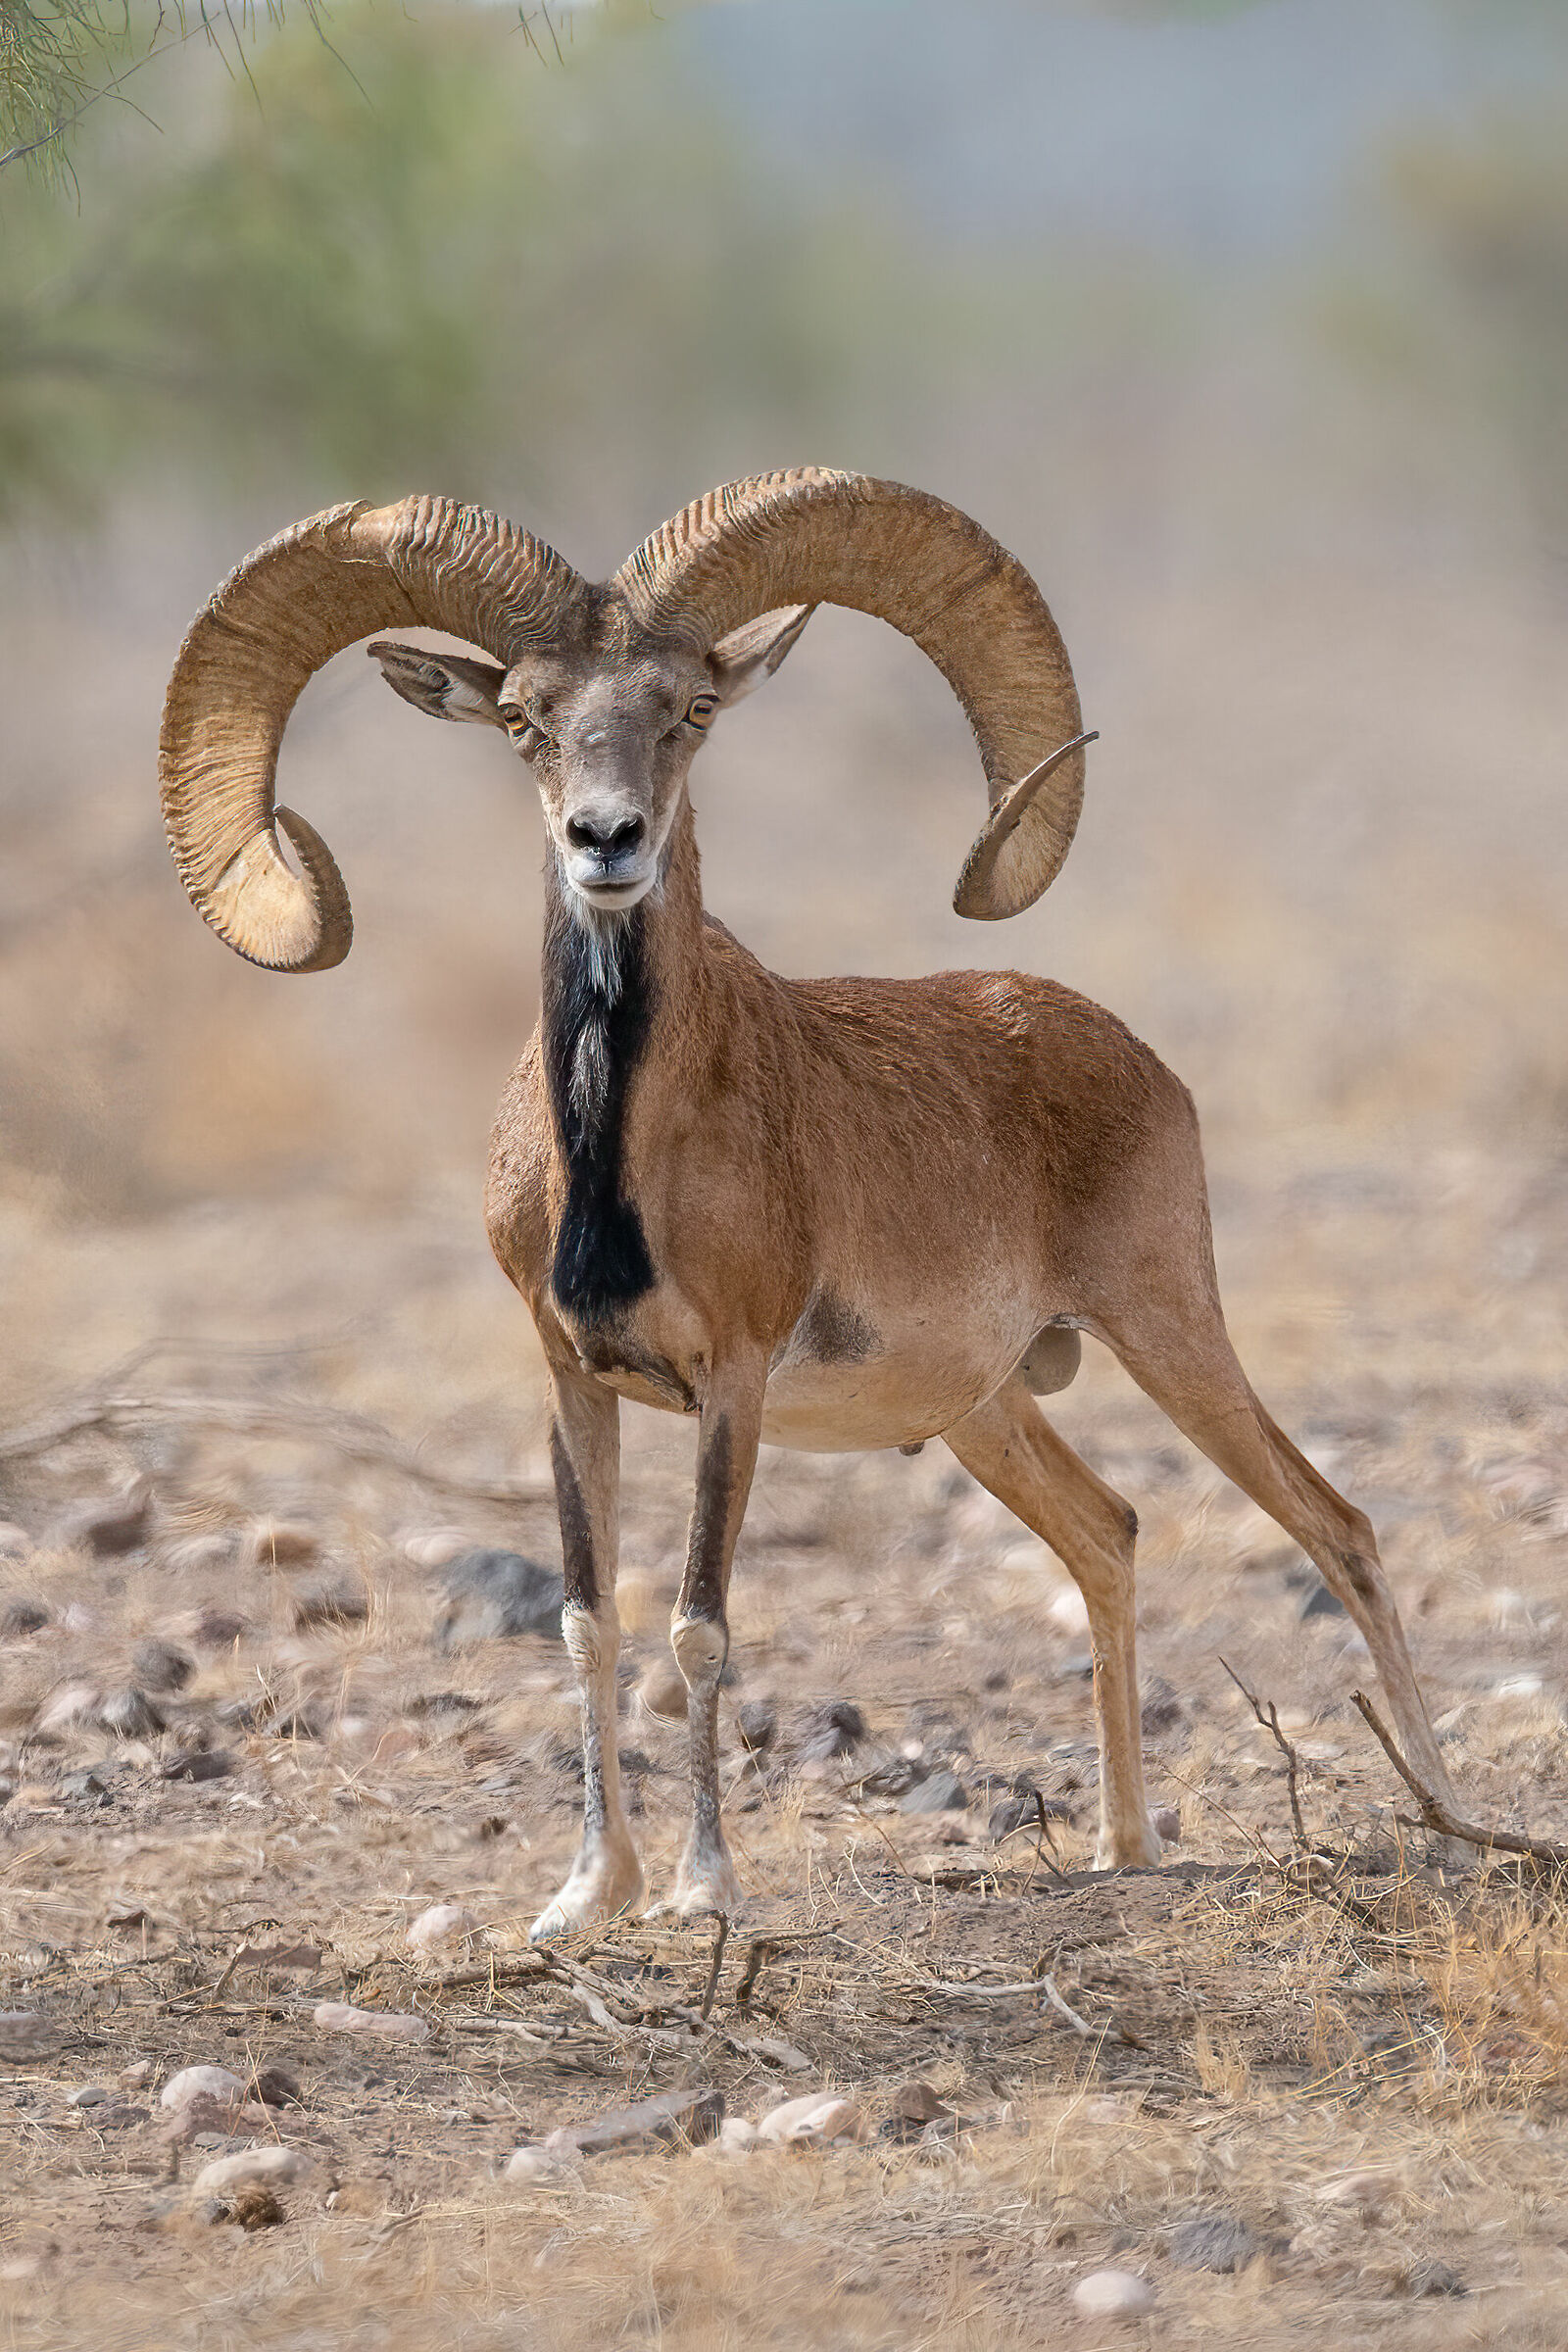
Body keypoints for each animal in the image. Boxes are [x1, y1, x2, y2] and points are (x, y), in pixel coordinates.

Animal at [159, 470, 1453, 1937]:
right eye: (526, 719)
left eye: (689, 711)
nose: (606, 842)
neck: (617, 1154)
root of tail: (1132, 1058)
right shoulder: (573, 1382)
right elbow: (589, 1618)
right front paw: (587, 1894)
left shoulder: (733, 1384)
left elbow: (698, 1624)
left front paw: (703, 1890)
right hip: (989, 1416)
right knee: (1109, 1537)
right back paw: (1123, 1847)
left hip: (1173, 1332)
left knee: (1338, 1529)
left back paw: (1449, 1818)